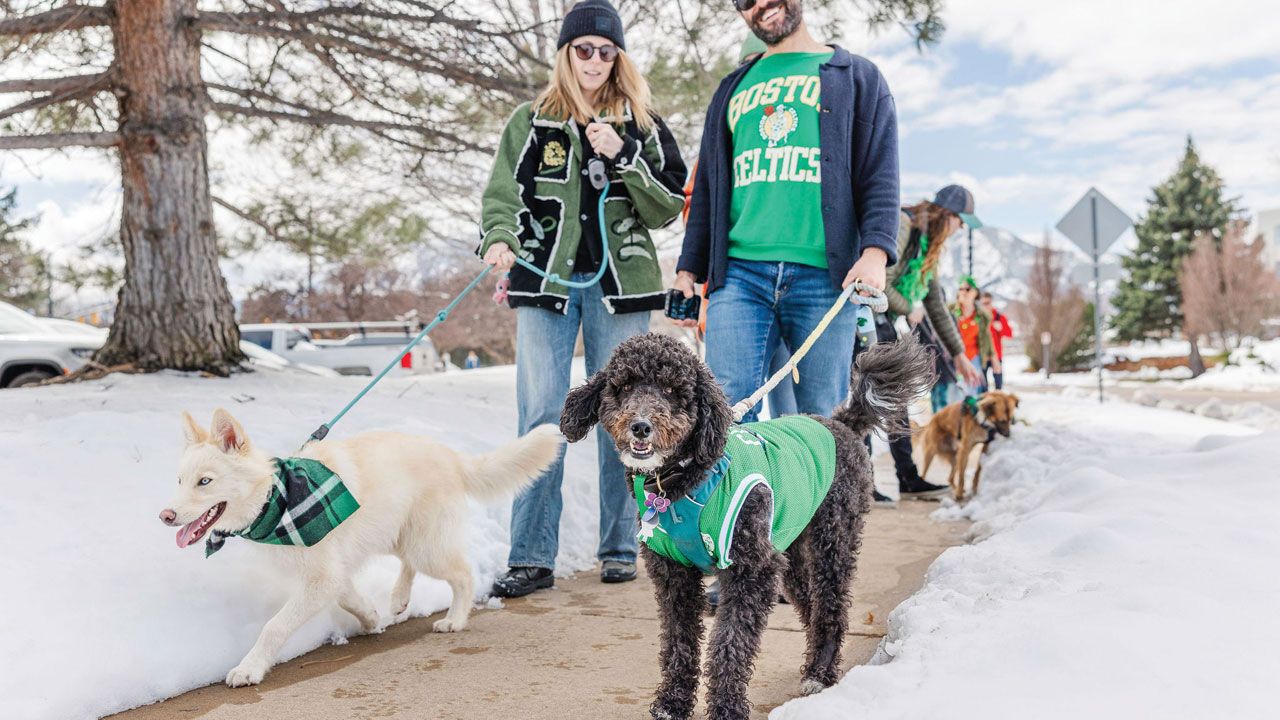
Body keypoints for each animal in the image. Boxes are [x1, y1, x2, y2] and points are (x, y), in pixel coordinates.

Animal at [161, 409, 560, 681]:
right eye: (179, 480)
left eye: (205, 481)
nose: (165, 516)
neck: (276, 500)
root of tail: (449, 454)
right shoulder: (331, 574)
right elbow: (348, 597)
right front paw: (370, 618)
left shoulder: (322, 577)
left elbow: (274, 626)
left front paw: (250, 668)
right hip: (397, 534)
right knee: (409, 564)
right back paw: (398, 598)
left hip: (425, 545)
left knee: (462, 574)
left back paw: (456, 619)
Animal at [560, 333, 931, 717]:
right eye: (624, 386)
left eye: (671, 389)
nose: (641, 426)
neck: (683, 479)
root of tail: (840, 423)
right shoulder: (675, 574)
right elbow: (678, 640)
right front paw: (673, 701)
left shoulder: (752, 570)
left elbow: (730, 642)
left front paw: (727, 706)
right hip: (789, 549)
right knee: (811, 603)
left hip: (833, 538)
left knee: (831, 605)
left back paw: (820, 672)